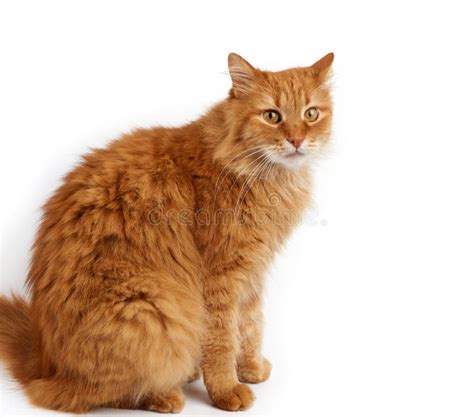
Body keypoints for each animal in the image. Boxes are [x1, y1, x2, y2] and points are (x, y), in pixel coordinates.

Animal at [0, 51, 334, 410]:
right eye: (272, 116)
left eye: (311, 114)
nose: (297, 140)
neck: (260, 175)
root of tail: (44, 363)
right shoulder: (222, 276)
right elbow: (222, 340)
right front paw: (226, 389)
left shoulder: (252, 273)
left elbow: (250, 326)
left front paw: (251, 369)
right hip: (151, 310)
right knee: (101, 394)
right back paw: (167, 395)